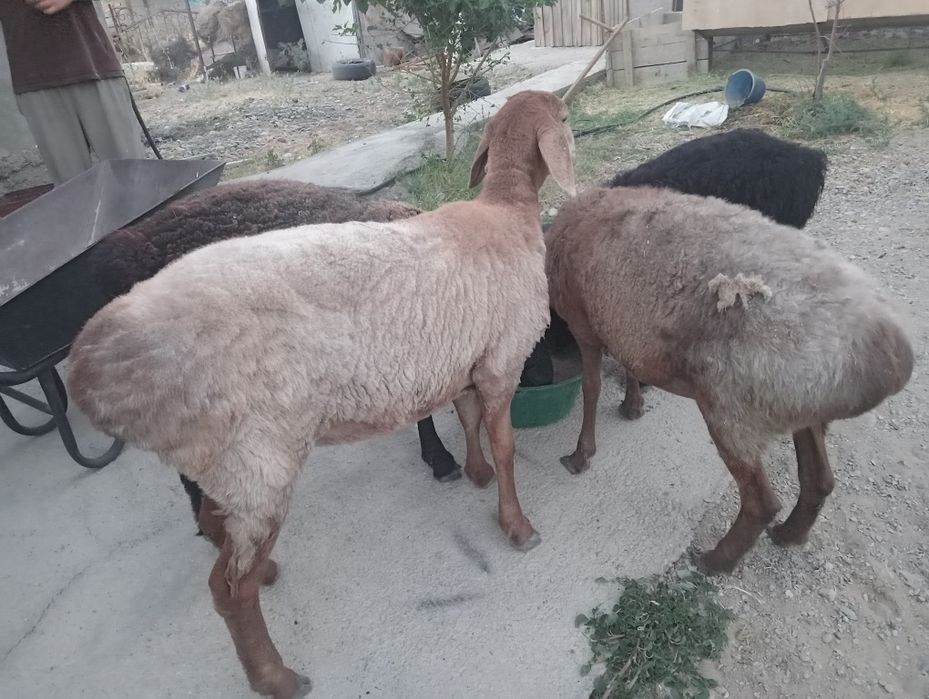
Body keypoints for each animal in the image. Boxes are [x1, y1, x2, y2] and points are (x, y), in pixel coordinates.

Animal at [67, 89, 576, 698]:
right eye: (565, 118)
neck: (504, 208)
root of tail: (92, 367)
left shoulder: (464, 353)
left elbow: (466, 412)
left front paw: (473, 472)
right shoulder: (501, 359)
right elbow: (504, 447)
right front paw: (517, 526)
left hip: (223, 460)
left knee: (217, 528)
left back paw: (265, 577)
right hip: (259, 461)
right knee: (227, 589)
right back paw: (276, 676)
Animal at [545, 185, 913, 575]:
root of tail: (889, 355)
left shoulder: (583, 323)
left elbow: (591, 388)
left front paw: (580, 455)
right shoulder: (621, 324)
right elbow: (629, 365)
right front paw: (632, 406)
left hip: (736, 413)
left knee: (762, 503)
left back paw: (715, 560)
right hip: (801, 408)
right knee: (819, 480)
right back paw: (789, 534)